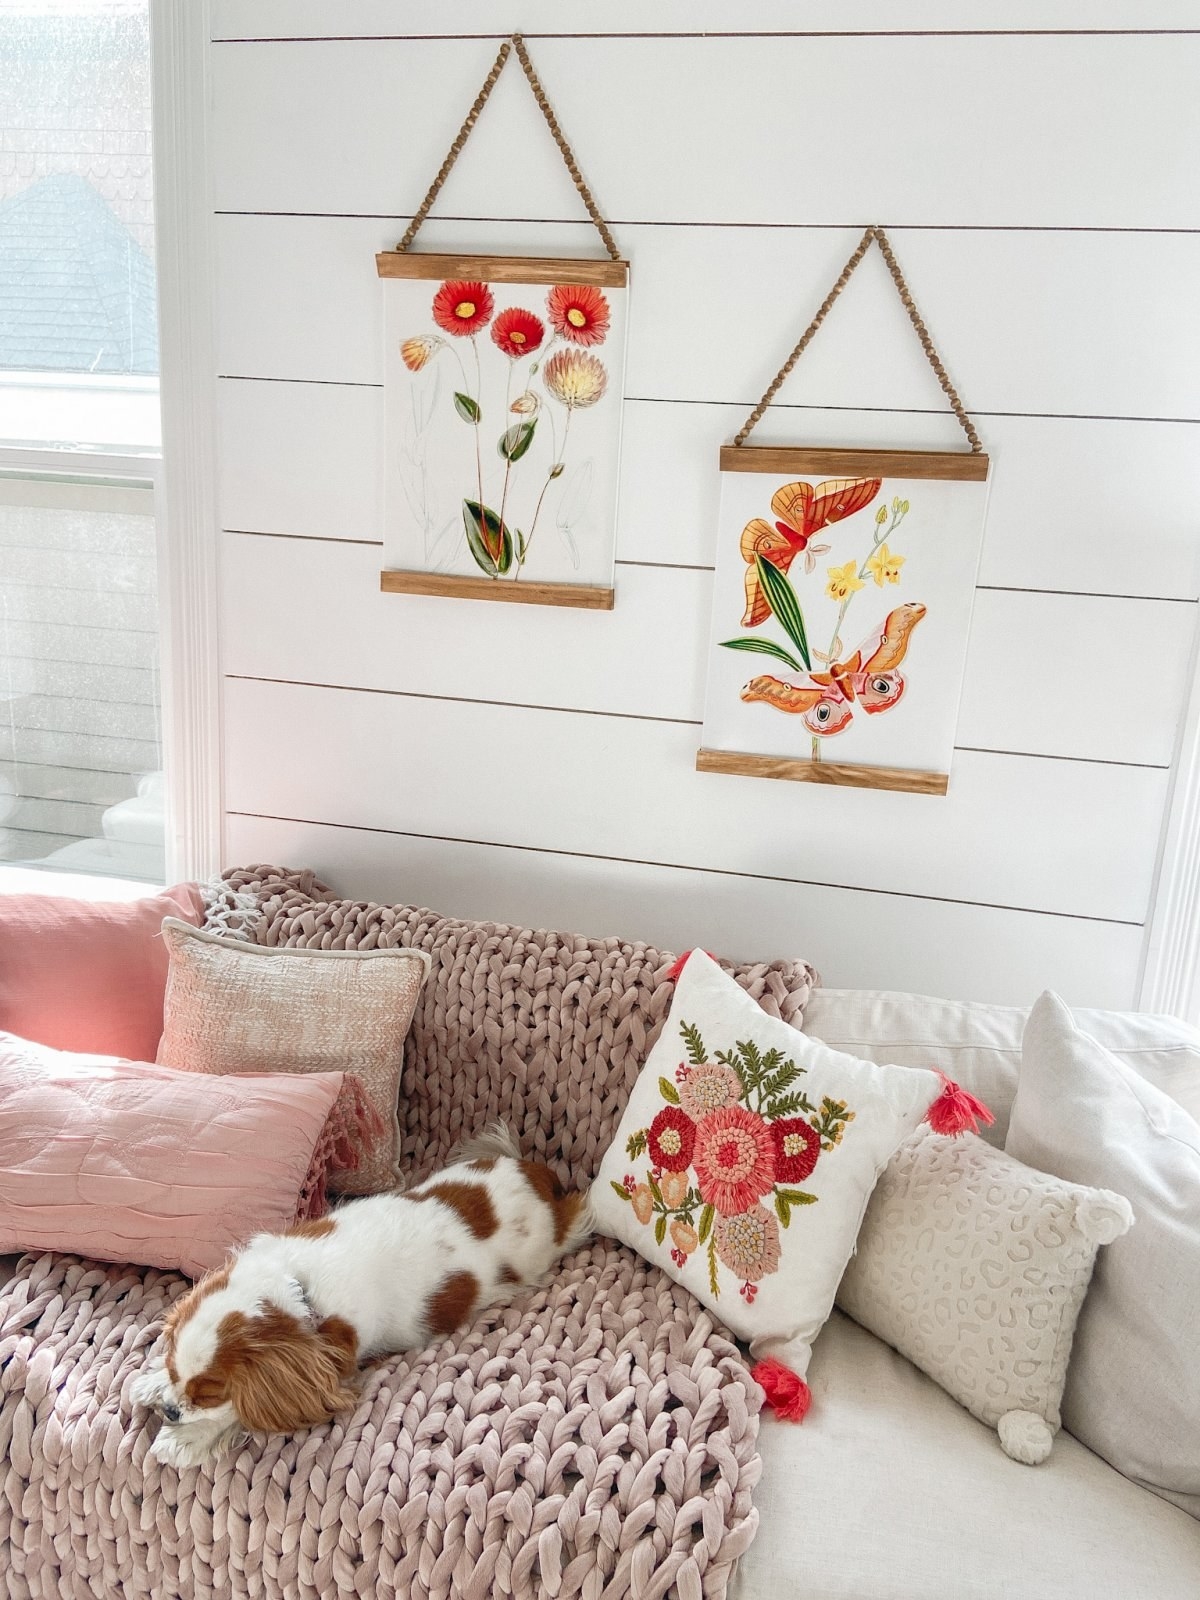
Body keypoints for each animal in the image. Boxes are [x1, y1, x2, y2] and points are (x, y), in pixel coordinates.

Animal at [132, 1126, 592, 1465]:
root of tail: (540, 1177)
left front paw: (186, 1438)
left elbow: (247, 1413)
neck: (297, 1286)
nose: (171, 1411)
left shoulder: (335, 1370)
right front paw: (152, 1382)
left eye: (209, 1394)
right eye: (174, 1372)